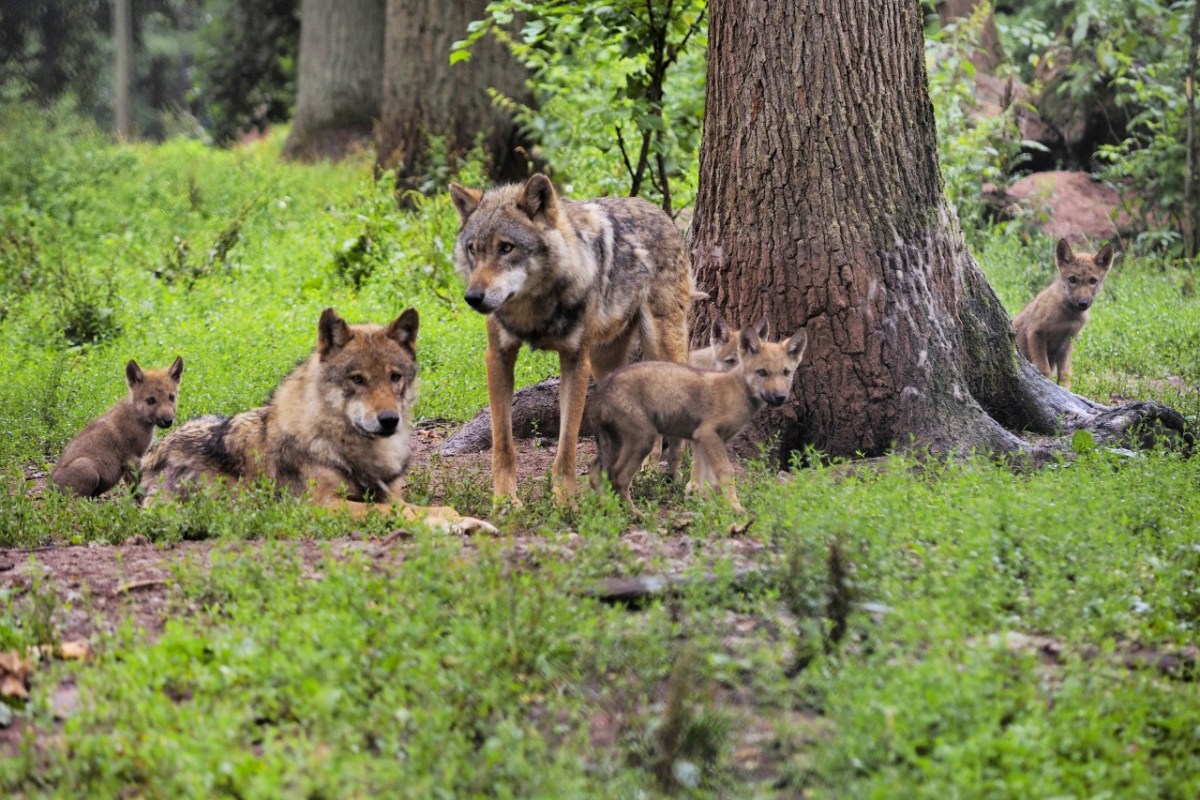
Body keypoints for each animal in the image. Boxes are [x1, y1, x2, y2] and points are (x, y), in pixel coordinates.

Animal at [51, 356, 184, 497]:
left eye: (172, 397)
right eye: (150, 400)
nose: (168, 420)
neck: (137, 416)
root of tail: (49, 490)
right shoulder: (132, 458)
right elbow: (137, 487)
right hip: (87, 468)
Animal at [139, 308, 495, 534]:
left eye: (395, 377)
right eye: (357, 379)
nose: (389, 420)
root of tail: (150, 458)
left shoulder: (391, 493)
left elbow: (431, 507)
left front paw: (466, 521)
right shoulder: (320, 505)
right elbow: (392, 511)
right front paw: (445, 525)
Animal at [449, 173, 693, 504]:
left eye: (506, 248)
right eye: (474, 249)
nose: (473, 297)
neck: (534, 309)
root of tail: (659, 211)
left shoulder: (576, 360)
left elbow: (566, 445)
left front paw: (564, 500)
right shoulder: (498, 357)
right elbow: (503, 443)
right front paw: (505, 500)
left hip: (661, 344)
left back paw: (689, 481)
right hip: (606, 365)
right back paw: (639, 473)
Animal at [589, 322, 808, 517]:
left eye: (786, 372)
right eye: (762, 372)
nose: (780, 397)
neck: (737, 390)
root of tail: (602, 390)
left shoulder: (704, 440)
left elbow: (706, 480)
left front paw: (706, 505)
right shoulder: (707, 434)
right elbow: (726, 473)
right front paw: (735, 508)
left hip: (615, 443)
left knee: (596, 470)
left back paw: (606, 510)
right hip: (643, 440)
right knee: (618, 478)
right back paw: (633, 514)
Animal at [1012, 238, 1114, 390]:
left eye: (1092, 281)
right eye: (1072, 279)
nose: (1083, 303)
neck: (1069, 316)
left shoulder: (1067, 342)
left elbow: (1065, 375)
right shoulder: (1036, 332)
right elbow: (1044, 370)